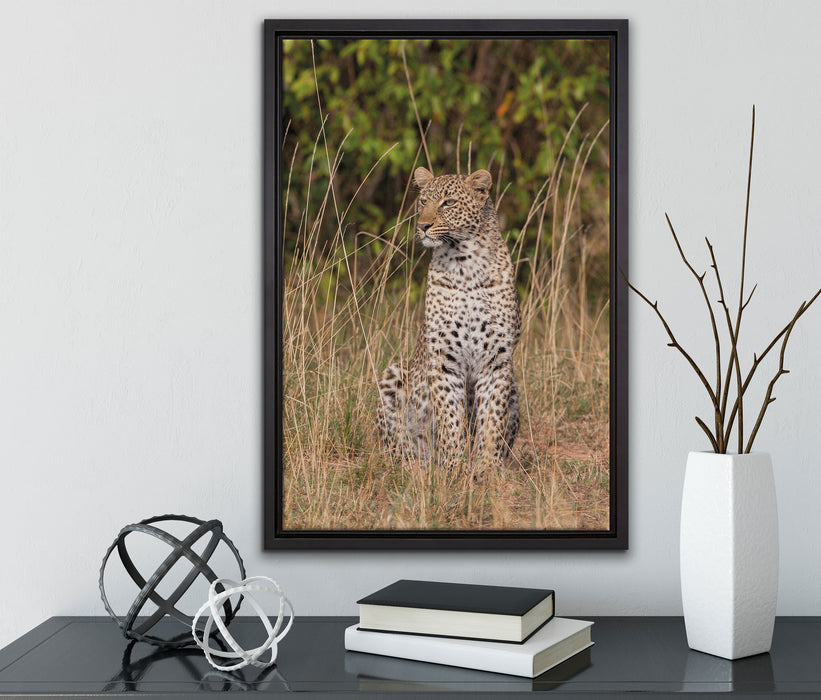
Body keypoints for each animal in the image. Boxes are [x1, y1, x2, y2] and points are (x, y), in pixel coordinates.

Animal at [376, 166, 522, 477]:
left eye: (449, 203)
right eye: (423, 201)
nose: (422, 225)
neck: (465, 264)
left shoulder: (497, 360)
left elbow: (492, 419)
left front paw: (486, 468)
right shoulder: (444, 359)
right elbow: (449, 417)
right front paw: (453, 466)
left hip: (514, 386)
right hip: (392, 374)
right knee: (396, 446)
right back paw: (414, 465)